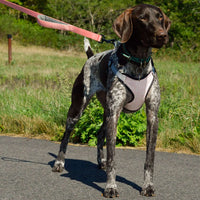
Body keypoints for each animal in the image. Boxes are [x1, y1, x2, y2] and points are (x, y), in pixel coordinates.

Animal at [52, 3, 171, 198]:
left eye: (160, 17)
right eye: (142, 18)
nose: (163, 35)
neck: (138, 63)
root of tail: (91, 57)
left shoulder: (152, 116)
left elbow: (149, 159)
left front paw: (147, 185)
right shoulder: (114, 114)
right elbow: (113, 156)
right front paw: (110, 187)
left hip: (106, 112)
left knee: (100, 135)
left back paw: (101, 162)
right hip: (78, 109)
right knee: (66, 136)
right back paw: (59, 163)